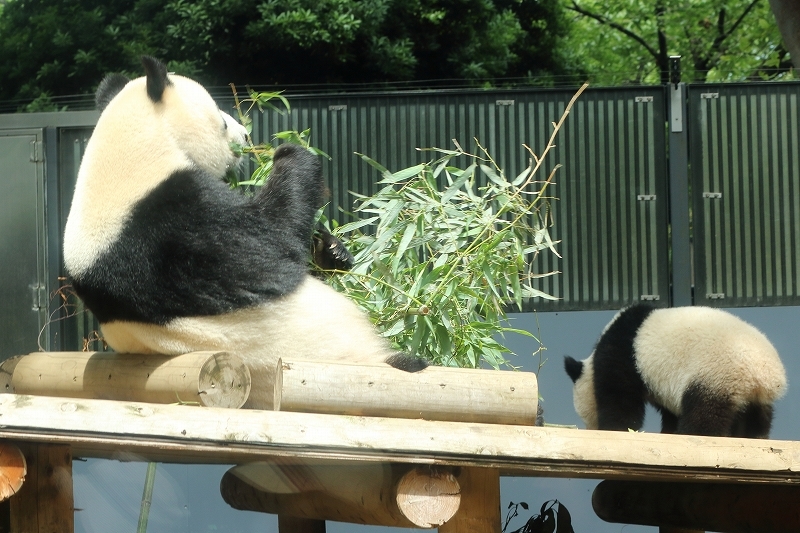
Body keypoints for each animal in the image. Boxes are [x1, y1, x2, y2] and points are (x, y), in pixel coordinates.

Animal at [61, 57, 422, 408]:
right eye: (222, 123)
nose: (247, 137)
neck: (132, 150)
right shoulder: (173, 225)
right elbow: (271, 246)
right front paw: (292, 155)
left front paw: (331, 250)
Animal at [564, 304, 788, 436]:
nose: (589, 428)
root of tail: (763, 375)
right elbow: (671, 410)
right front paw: (669, 431)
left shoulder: (623, 355)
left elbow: (620, 399)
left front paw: (613, 428)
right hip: (752, 397)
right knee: (755, 420)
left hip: (716, 374)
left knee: (705, 415)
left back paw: (692, 433)